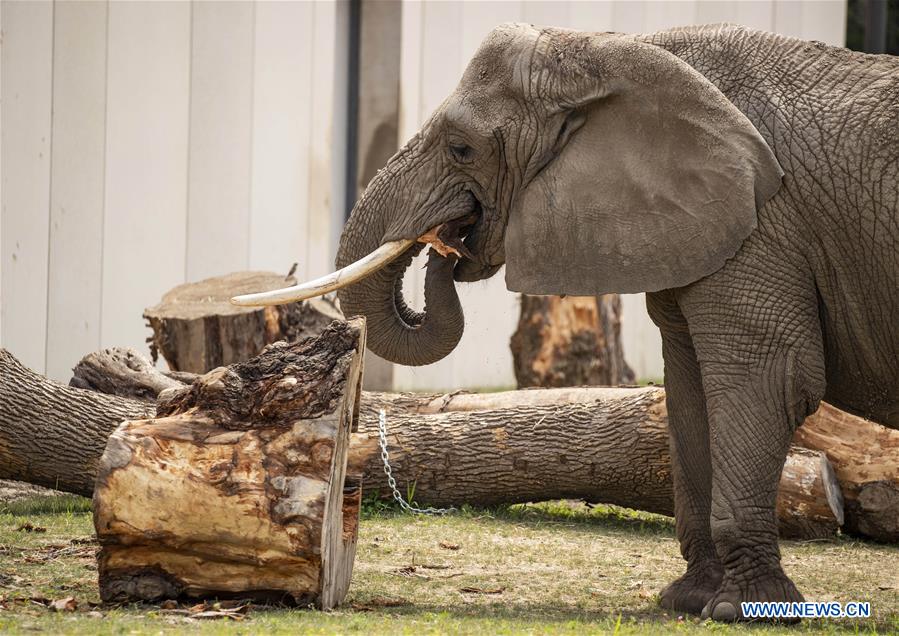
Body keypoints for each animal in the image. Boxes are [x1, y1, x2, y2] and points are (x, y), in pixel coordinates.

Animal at [237, 23, 899, 620]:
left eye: (462, 148)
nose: (447, 243)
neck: (615, 51)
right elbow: (689, 392)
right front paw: (689, 603)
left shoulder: (765, 226)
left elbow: (767, 379)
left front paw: (747, 611)